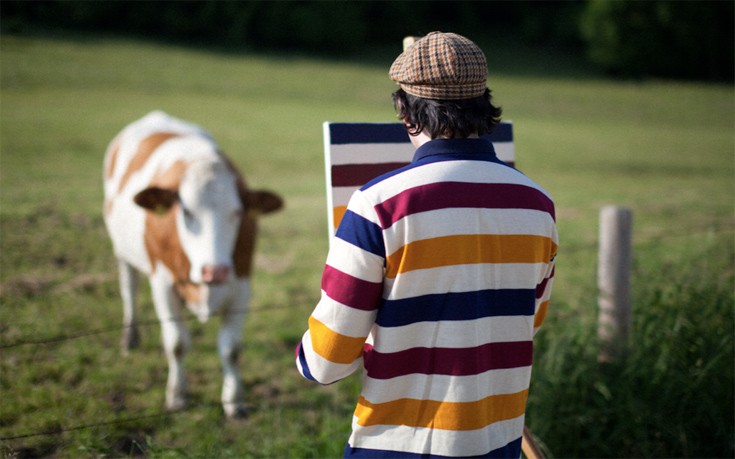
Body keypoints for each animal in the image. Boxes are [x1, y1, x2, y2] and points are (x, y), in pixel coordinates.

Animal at [103, 111, 284, 416]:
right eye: (186, 211)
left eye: (237, 212)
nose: (215, 270)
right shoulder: (162, 285)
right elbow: (177, 343)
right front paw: (177, 396)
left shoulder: (241, 284)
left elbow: (231, 348)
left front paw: (234, 400)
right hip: (122, 253)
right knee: (129, 290)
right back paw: (130, 339)